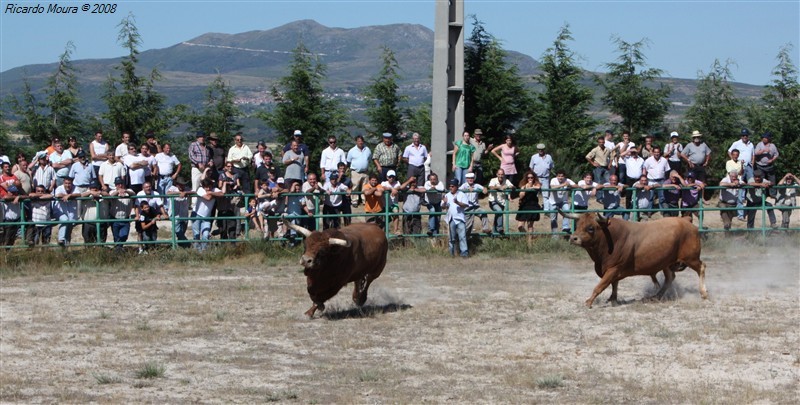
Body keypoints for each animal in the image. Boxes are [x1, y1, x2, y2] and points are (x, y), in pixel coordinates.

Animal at [564, 210, 708, 308]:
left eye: (590, 228)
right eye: (578, 224)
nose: (573, 238)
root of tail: (686, 220)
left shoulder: (614, 268)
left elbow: (601, 286)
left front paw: (589, 301)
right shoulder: (613, 270)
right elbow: (614, 284)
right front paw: (613, 299)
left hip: (691, 258)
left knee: (701, 268)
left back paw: (703, 293)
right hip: (666, 263)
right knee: (670, 278)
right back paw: (656, 297)